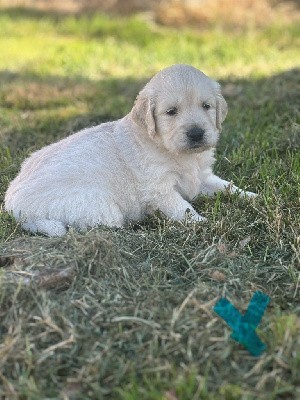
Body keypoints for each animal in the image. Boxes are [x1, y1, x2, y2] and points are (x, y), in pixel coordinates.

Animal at [4, 64, 255, 236]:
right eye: (171, 112)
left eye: (206, 106)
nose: (196, 133)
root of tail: (11, 205)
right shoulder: (158, 190)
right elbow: (182, 208)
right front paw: (203, 224)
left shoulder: (202, 177)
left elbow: (227, 186)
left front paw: (252, 197)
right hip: (98, 207)